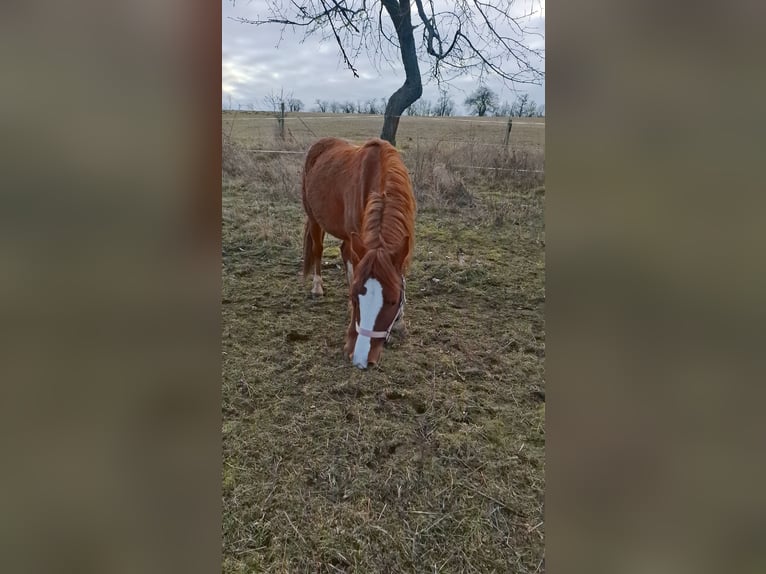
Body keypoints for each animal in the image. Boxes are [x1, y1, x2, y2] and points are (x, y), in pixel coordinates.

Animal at [302, 138, 416, 368]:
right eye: (356, 298)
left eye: (393, 301)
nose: (362, 359)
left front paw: (399, 321)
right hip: (314, 218)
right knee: (318, 249)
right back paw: (317, 287)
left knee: (345, 251)